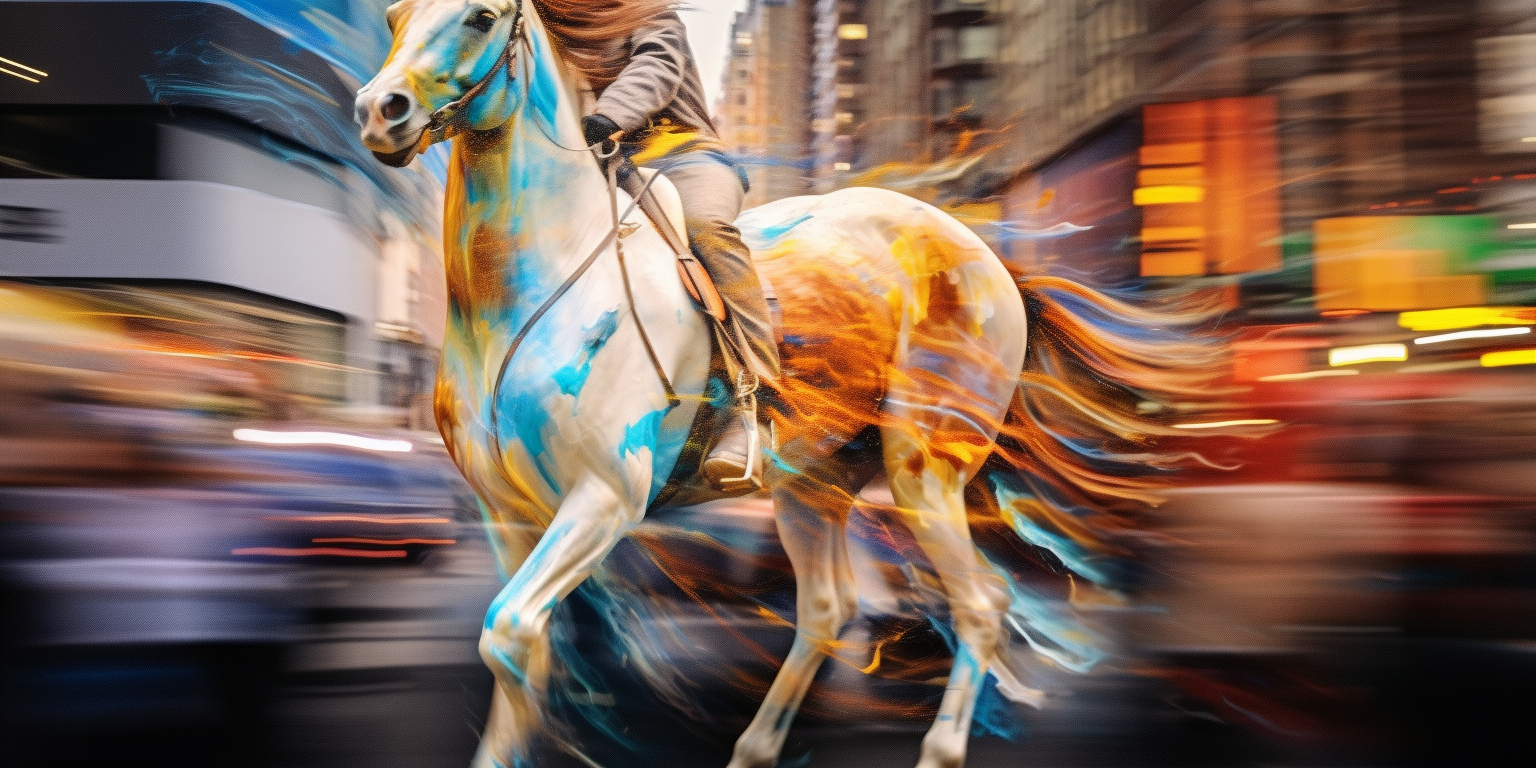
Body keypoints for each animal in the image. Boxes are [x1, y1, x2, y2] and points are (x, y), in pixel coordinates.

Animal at [351, 3, 1222, 764]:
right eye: (394, 14)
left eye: (482, 17)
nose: (379, 111)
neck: (534, 279)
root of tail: (992, 259)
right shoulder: (507, 515)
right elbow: (523, 651)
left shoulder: (606, 496)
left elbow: (508, 632)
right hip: (814, 485)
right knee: (829, 609)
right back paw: (756, 748)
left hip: (924, 471)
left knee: (981, 606)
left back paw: (939, 747)